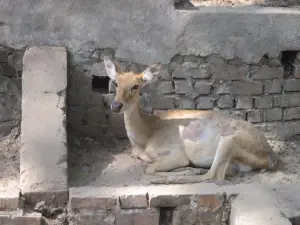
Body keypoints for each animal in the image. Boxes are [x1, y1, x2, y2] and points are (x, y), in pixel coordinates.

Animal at [103, 56, 282, 185]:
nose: (116, 105)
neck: (145, 137)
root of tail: (272, 157)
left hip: (229, 139)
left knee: (213, 176)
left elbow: (150, 169)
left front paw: (183, 170)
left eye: (135, 86)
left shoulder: (177, 152)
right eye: (116, 83)